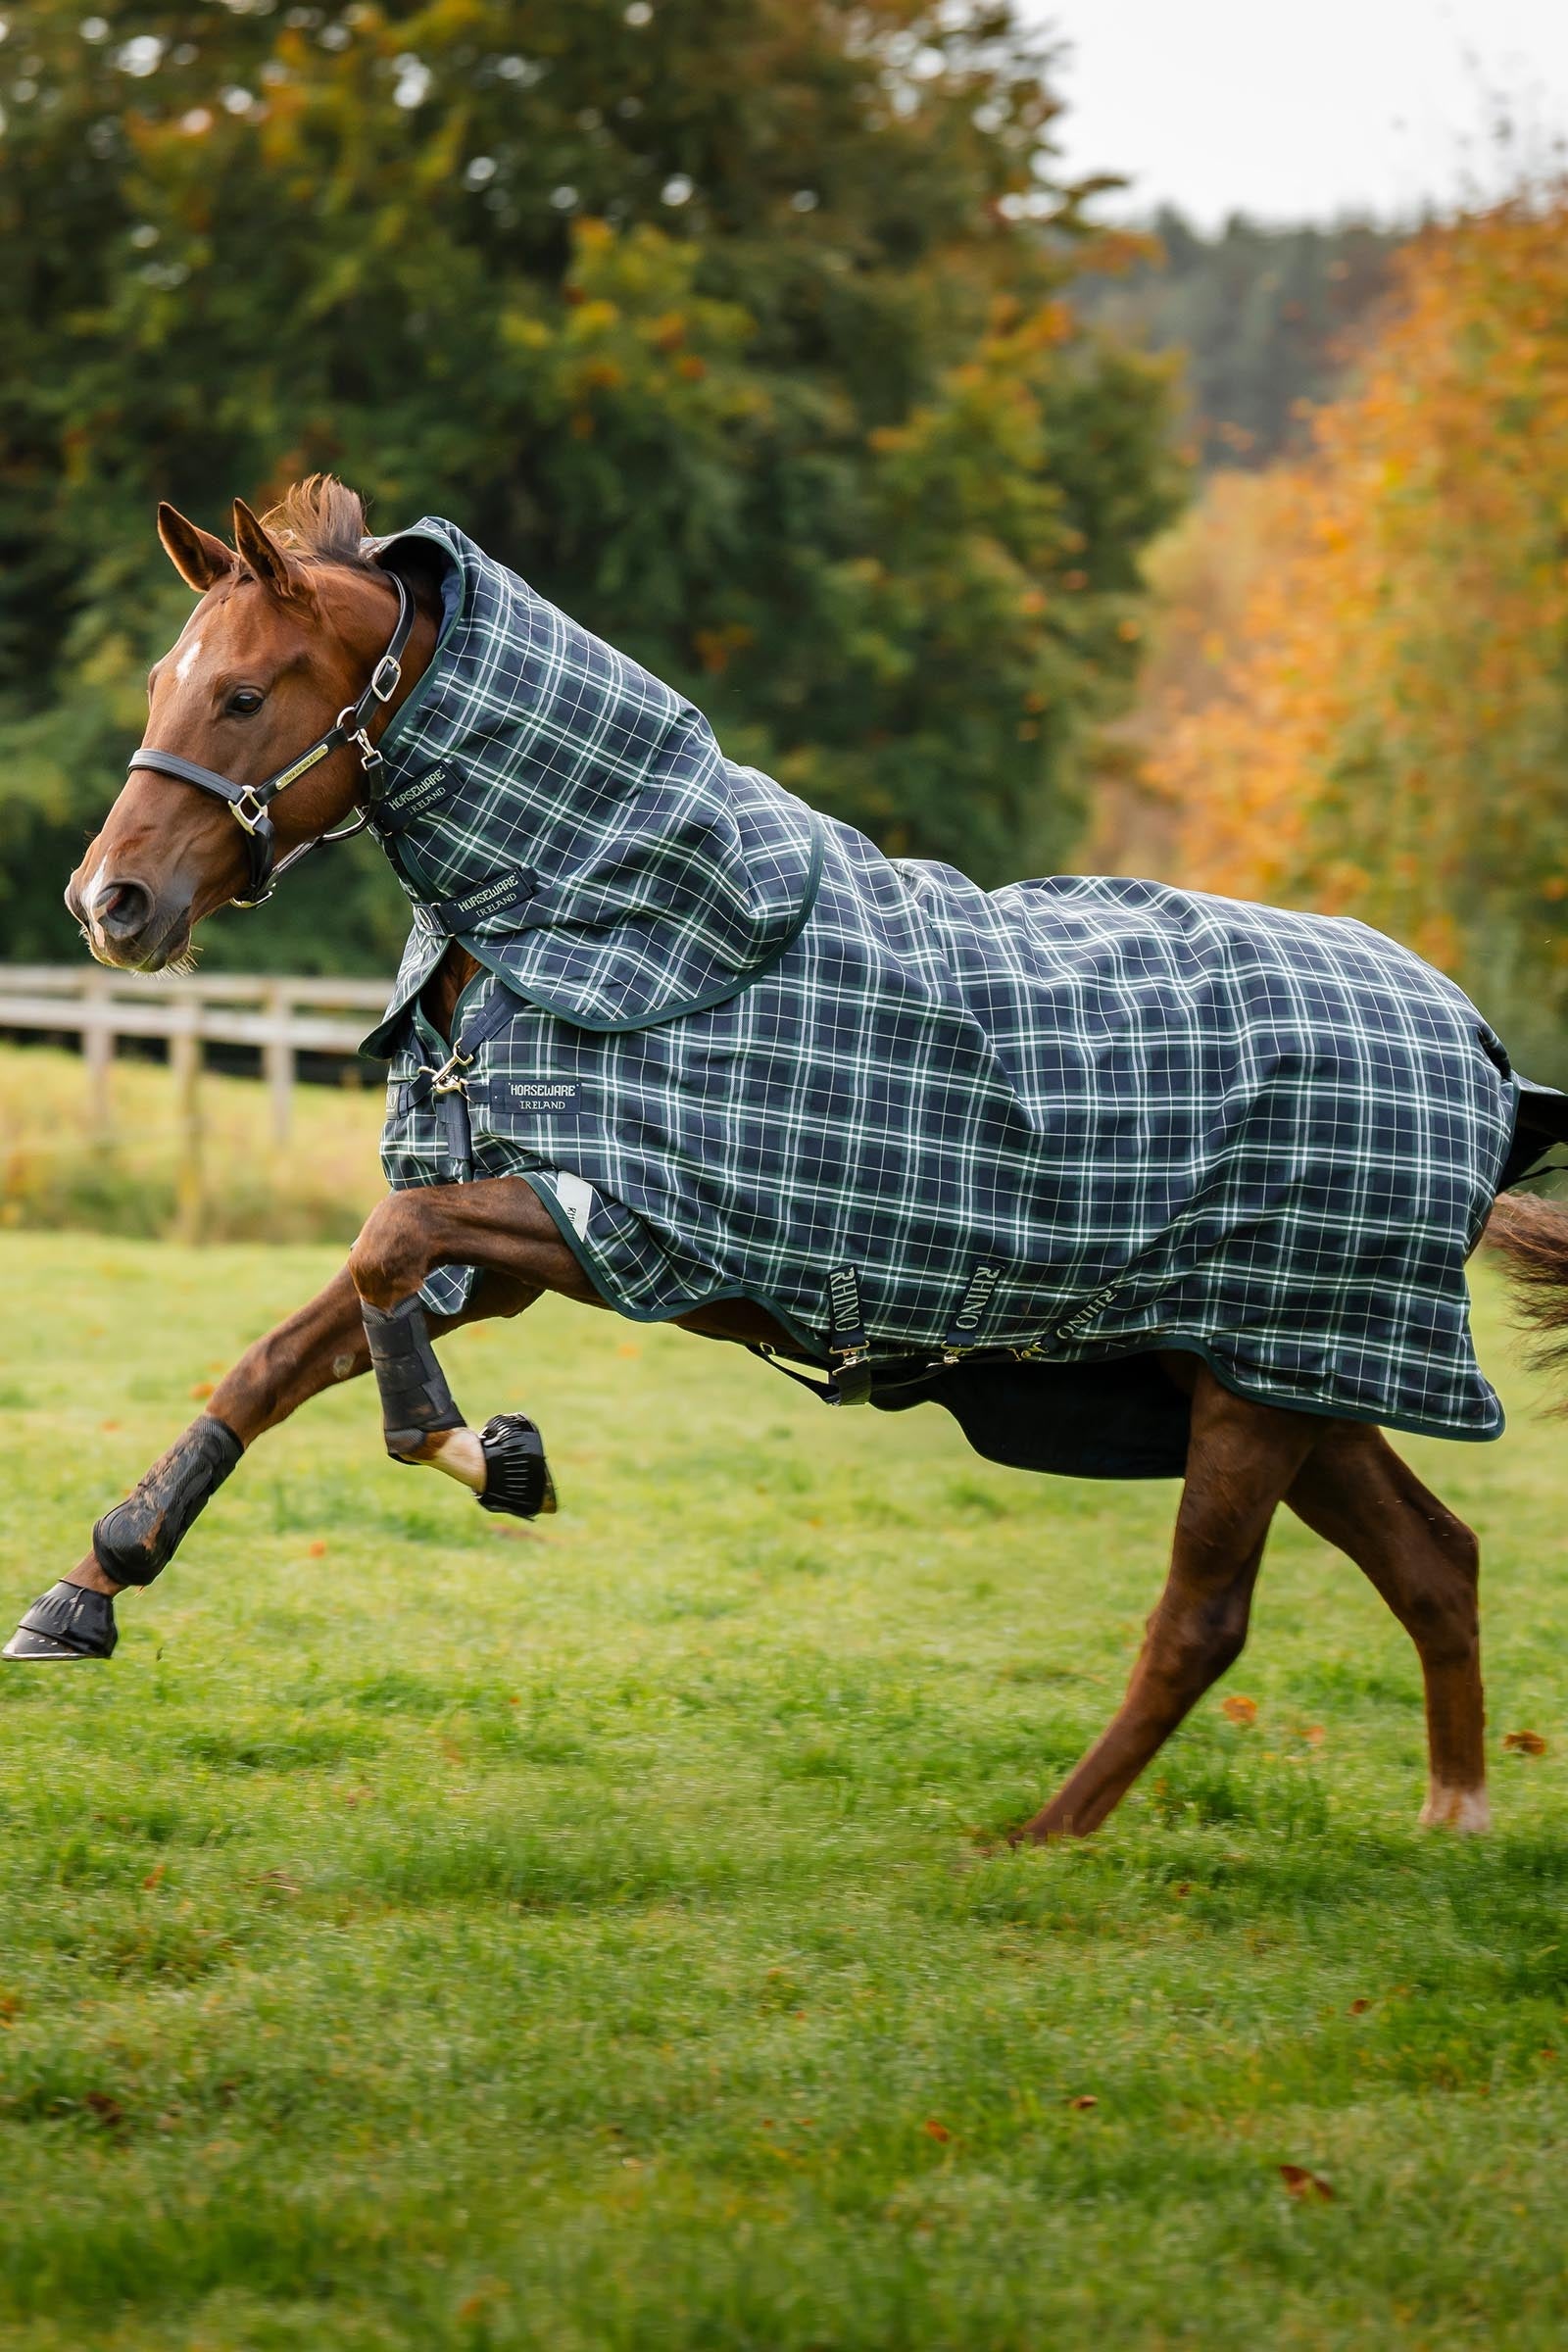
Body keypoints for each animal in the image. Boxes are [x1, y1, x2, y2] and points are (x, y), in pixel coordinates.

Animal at [9, 473, 1567, 1849]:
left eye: (244, 694)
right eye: (160, 679)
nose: (109, 902)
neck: (615, 923)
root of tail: (1483, 1053)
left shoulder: (621, 1229)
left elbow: (379, 1270)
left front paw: (486, 1455)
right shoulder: (510, 1233)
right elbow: (273, 1359)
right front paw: (92, 1586)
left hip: (1265, 1384)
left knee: (1205, 1618)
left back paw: (1038, 1841)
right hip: (1271, 1373)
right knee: (1435, 1561)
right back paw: (1453, 1814)